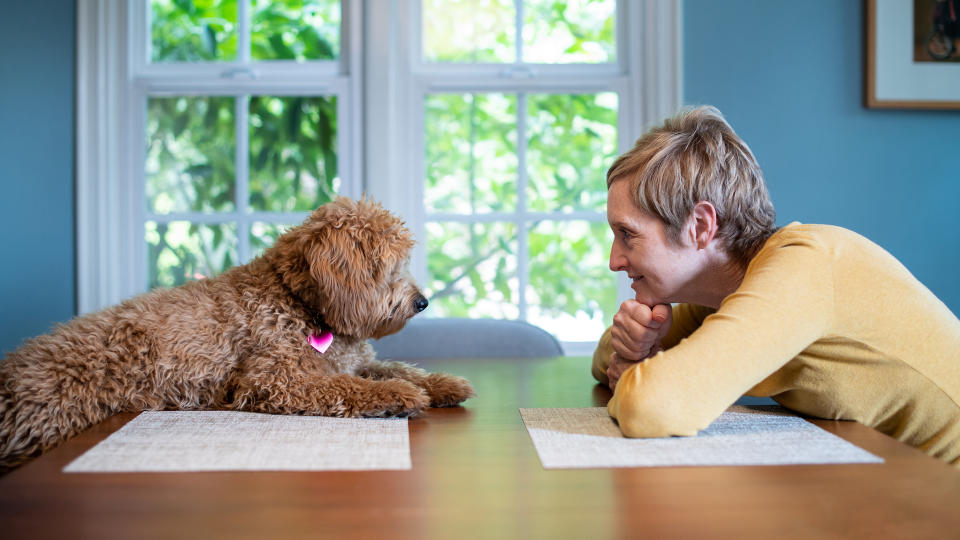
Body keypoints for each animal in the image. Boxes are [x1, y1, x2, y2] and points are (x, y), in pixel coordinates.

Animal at [0, 196, 476, 470]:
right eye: (389, 265)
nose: (422, 302)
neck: (300, 303)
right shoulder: (275, 379)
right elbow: (350, 387)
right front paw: (399, 396)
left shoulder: (354, 362)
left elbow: (398, 367)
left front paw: (443, 384)